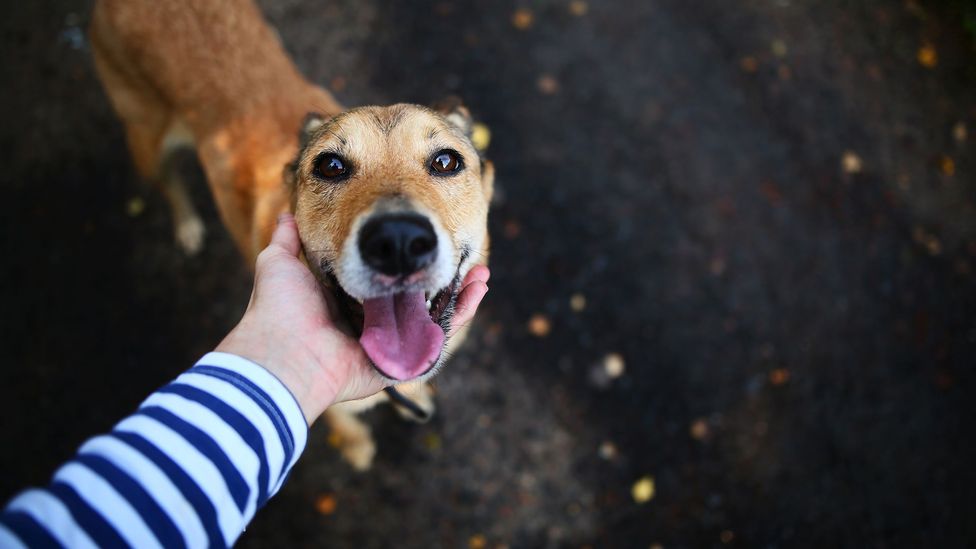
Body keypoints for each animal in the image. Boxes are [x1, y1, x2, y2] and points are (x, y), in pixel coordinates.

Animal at [88, 0, 492, 470]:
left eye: (446, 162)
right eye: (330, 166)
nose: (398, 243)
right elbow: (345, 426)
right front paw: (357, 448)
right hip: (145, 140)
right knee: (169, 181)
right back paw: (187, 224)